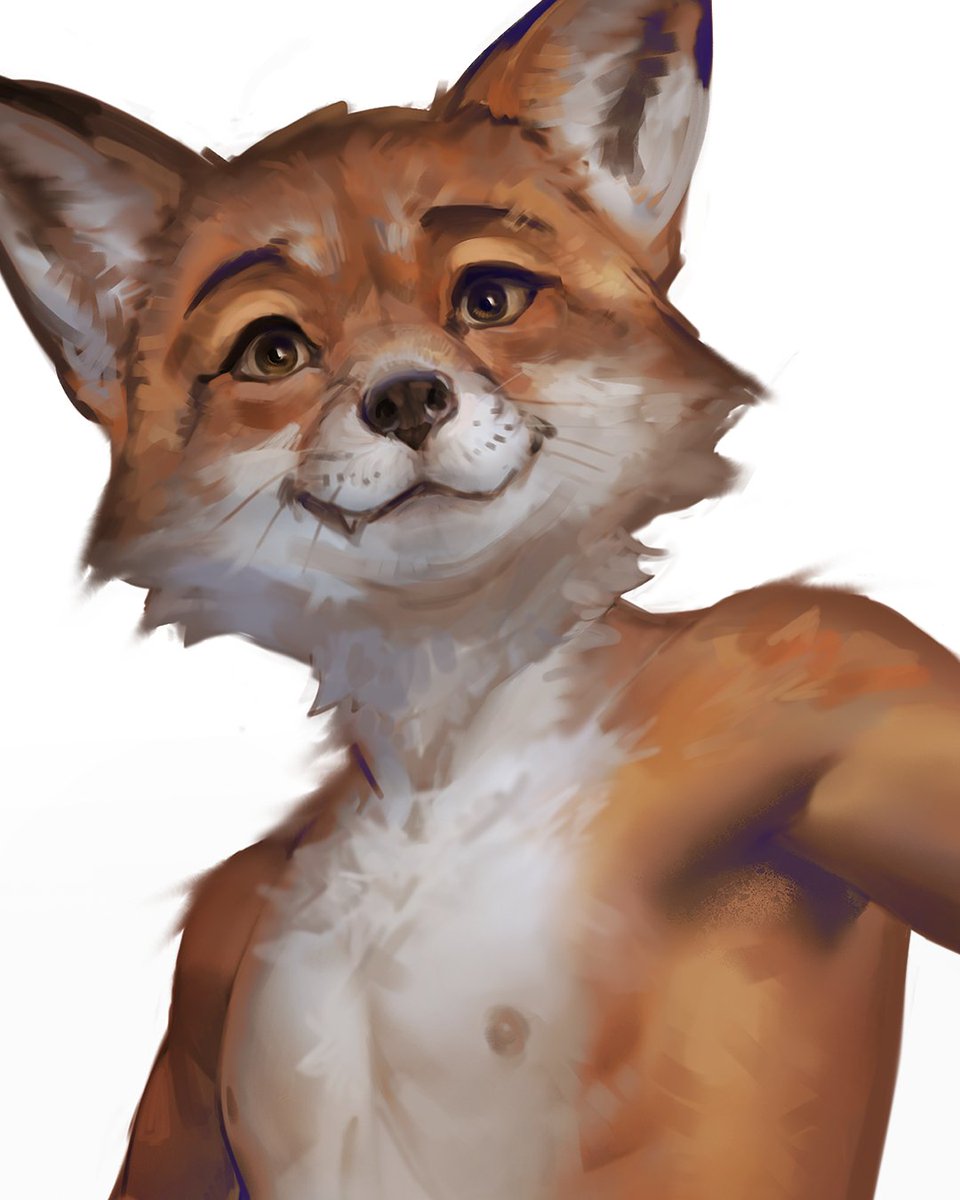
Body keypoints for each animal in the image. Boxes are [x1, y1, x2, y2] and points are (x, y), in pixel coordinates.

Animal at [2, 0, 959, 1197]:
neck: (438, 777)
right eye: (274, 351)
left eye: (489, 298)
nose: (408, 397)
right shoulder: (215, 945)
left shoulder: (819, 663)